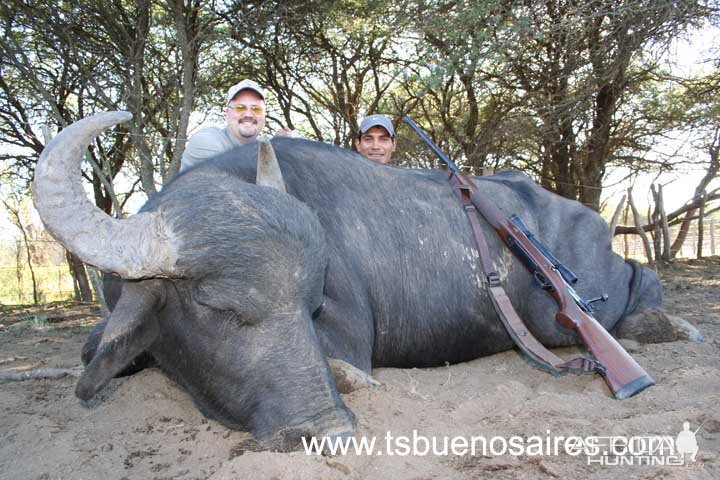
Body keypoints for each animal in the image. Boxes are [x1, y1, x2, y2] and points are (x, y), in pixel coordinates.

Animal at [32, 111, 696, 450]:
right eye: (214, 306)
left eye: (308, 304)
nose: (320, 428)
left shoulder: (346, 332)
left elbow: (348, 363)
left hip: (572, 306)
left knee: (634, 279)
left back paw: (673, 325)